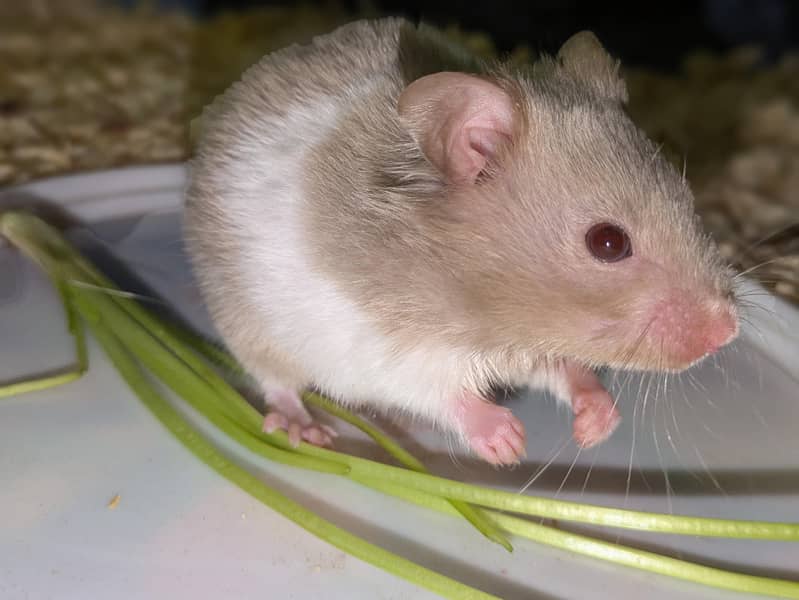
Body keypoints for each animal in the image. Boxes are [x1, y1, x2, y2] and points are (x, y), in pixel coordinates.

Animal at [183, 18, 739, 465]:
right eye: (607, 243)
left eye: (689, 198)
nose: (728, 332)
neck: (484, 315)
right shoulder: (376, 345)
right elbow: (434, 389)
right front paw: (508, 445)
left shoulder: (531, 348)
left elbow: (565, 370)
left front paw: (596, 426)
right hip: (246, 321)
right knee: (276, 383)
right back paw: (304, 431)